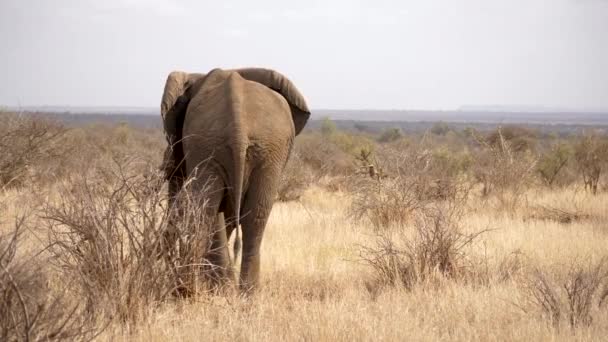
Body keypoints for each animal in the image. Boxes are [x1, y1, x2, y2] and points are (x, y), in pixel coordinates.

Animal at [159, 67, 312, 292]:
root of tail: (238, 124)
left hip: (234, 147)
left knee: (215, 211)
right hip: (253, 151)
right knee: (252, 216)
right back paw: (243, 293)